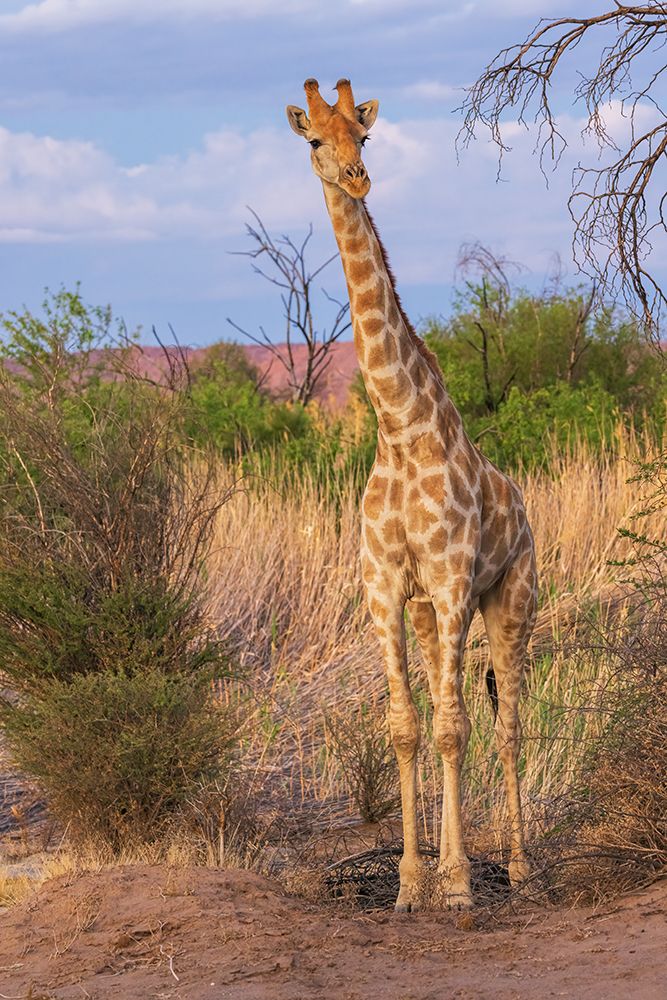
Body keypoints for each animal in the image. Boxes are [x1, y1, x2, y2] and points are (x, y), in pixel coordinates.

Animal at [287, 78, 538, 911]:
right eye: (314, 140)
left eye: (364, 136)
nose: (356, 178)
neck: (398, 427)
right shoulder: (383, 585)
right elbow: (405, 726)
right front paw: (408, 882)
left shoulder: (455, 578)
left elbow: (457, 728)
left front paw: (457, 885)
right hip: (432, 614)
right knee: (441, 708)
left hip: (510, 599)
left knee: (505, 721)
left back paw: (516, 866)